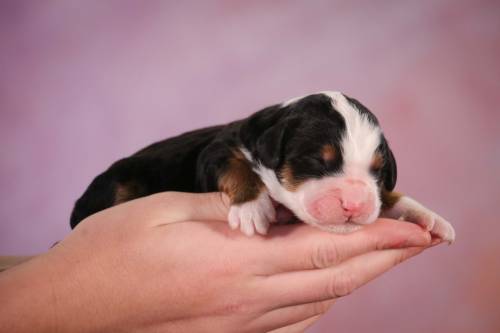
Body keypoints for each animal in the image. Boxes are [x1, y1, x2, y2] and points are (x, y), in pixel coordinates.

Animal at [70, 91, 458, 241]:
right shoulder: (218, 150)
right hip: (116, 183)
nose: (353, 204)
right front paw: (252, 208)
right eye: (318, 161)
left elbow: (390, 196)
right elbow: (238, 167)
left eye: (378, 172)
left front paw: (427, 215)